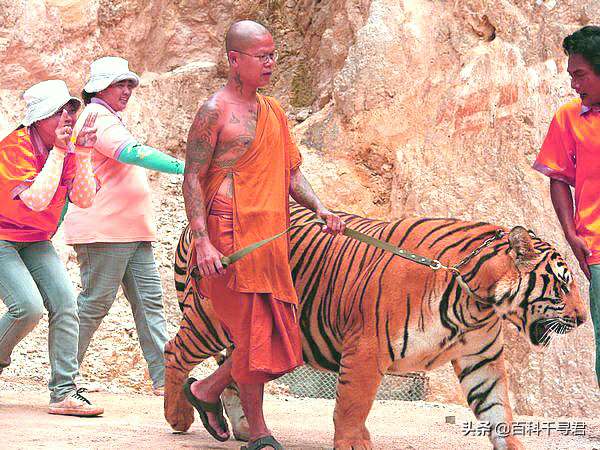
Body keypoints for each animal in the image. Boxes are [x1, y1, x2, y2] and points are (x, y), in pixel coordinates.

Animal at [163, 204, 584, 450]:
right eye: (563, 284)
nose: (581, 319)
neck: (476, 301)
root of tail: (192, 229)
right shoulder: (368, 345)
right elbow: (353, 403)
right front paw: (352, 443)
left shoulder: (482, 361)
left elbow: (499, 412)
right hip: (211, 321)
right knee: (175, 351)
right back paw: (179, 416)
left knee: (235, 372)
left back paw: (241, 429)